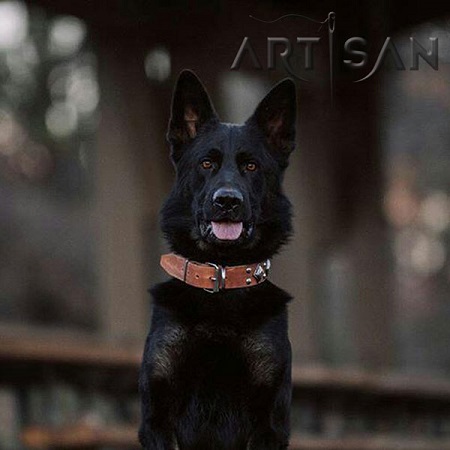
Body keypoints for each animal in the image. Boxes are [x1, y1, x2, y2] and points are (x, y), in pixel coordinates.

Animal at [139, 71, 298, 450]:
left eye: (252, 166)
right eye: (206, 163)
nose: (228, 201)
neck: (222, 275)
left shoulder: (269, 423)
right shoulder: (157, 417)